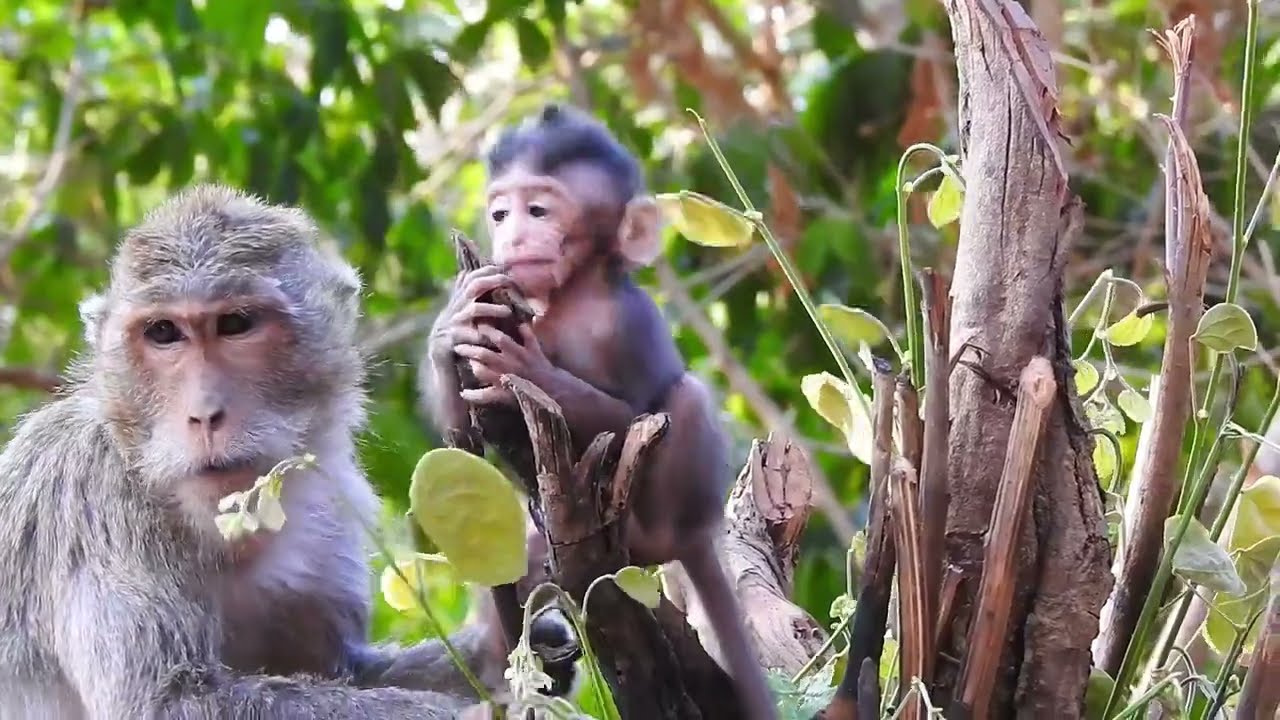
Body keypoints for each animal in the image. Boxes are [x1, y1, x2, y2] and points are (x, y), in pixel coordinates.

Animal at [0, 184, 574, 720]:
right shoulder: (89, 499)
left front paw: (509, 649)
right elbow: (166, 700)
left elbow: (344, 668)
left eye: (235, 324)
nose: (204, 414)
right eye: (163, 332)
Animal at [421, 104, 780, 720]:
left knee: (686, 397)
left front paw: (530, 368)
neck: (568, 298)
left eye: (539, 210)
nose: (513, 233)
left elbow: (628, 414)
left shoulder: (623, 324)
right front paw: (452, 329)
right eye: (500, 212)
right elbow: (460, 433)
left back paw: (646, 535)